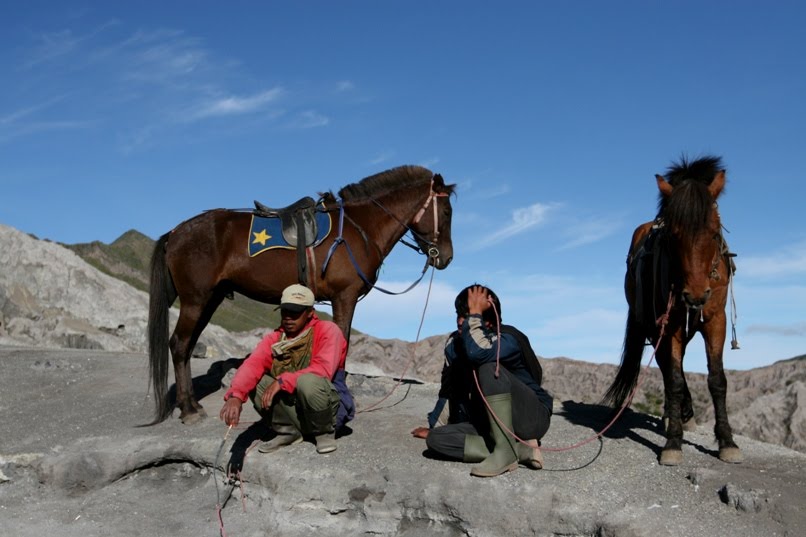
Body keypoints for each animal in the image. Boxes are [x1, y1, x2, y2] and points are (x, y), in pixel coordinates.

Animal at [149, 164, 458, 422]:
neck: (360, 227)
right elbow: (343, 343)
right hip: (196, 299)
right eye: (446, 213)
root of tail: (175, 232)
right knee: (179, 345)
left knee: (188, 346)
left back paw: (191, 403)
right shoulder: (344, 297)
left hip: (210, 298)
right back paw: (188, 409)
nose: (446, 258)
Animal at [608, 155, 744, 464]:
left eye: (713, 232)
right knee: (669, 369)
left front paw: (727, 441)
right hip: (655, 327)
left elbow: (717, 379)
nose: (695, 294)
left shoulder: (715, 321)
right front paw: (672, 443)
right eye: (673, 235)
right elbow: (674, 379)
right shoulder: (668, 326)